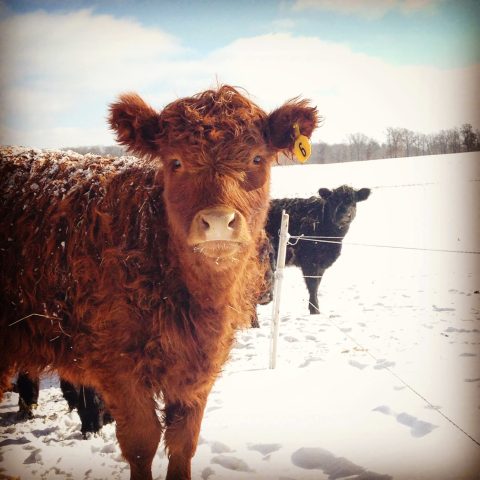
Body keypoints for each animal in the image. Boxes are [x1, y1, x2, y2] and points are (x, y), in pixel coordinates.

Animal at [0, 87, 318, 480]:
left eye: (257, 157)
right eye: (176, 162)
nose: (217, 220)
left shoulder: (197, 372)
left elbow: (183, 443)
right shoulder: (118, 368)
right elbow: (142, 442)